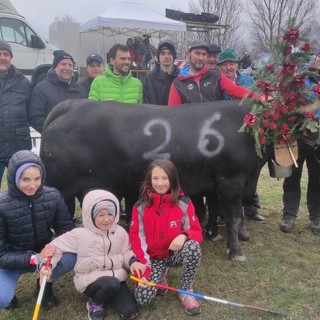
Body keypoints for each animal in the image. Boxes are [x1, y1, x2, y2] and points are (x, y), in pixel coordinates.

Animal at [40, 99, 264, 260]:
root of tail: (73, 104)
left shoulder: (216, 183)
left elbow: (216, 209)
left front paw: (213, 233)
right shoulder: (231, 181)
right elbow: (233, 217)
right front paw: (236, 251)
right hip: (54, 186)